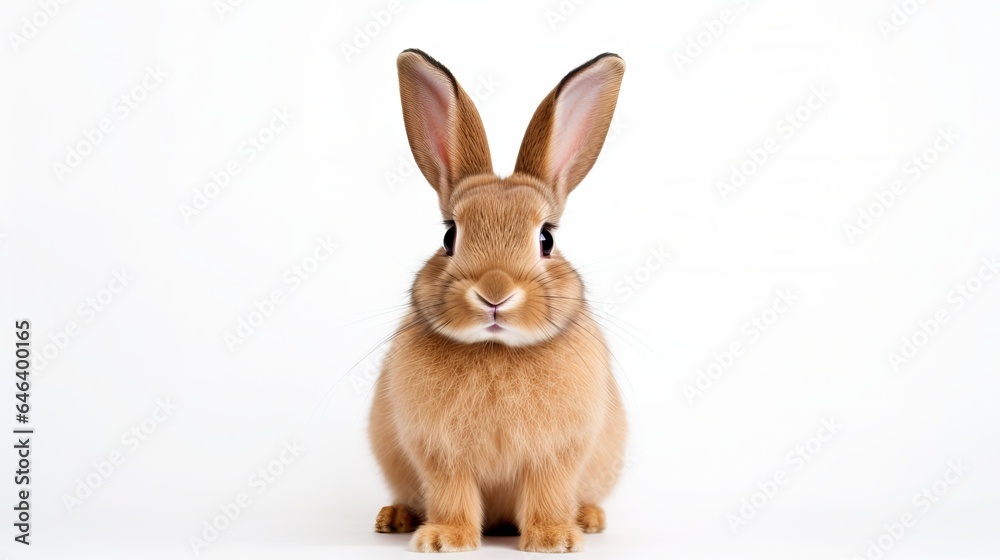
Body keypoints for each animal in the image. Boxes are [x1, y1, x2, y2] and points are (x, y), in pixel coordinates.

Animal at [369, 48, 627, 553]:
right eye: (449, 236)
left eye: (546, 239)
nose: (494, 293)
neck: (496, 349)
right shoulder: (441, 454)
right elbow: (452, 493)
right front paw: (445, 540)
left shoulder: (555, 455)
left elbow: (548, 493)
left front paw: (553, 540)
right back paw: (394, 518)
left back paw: (589, 518)